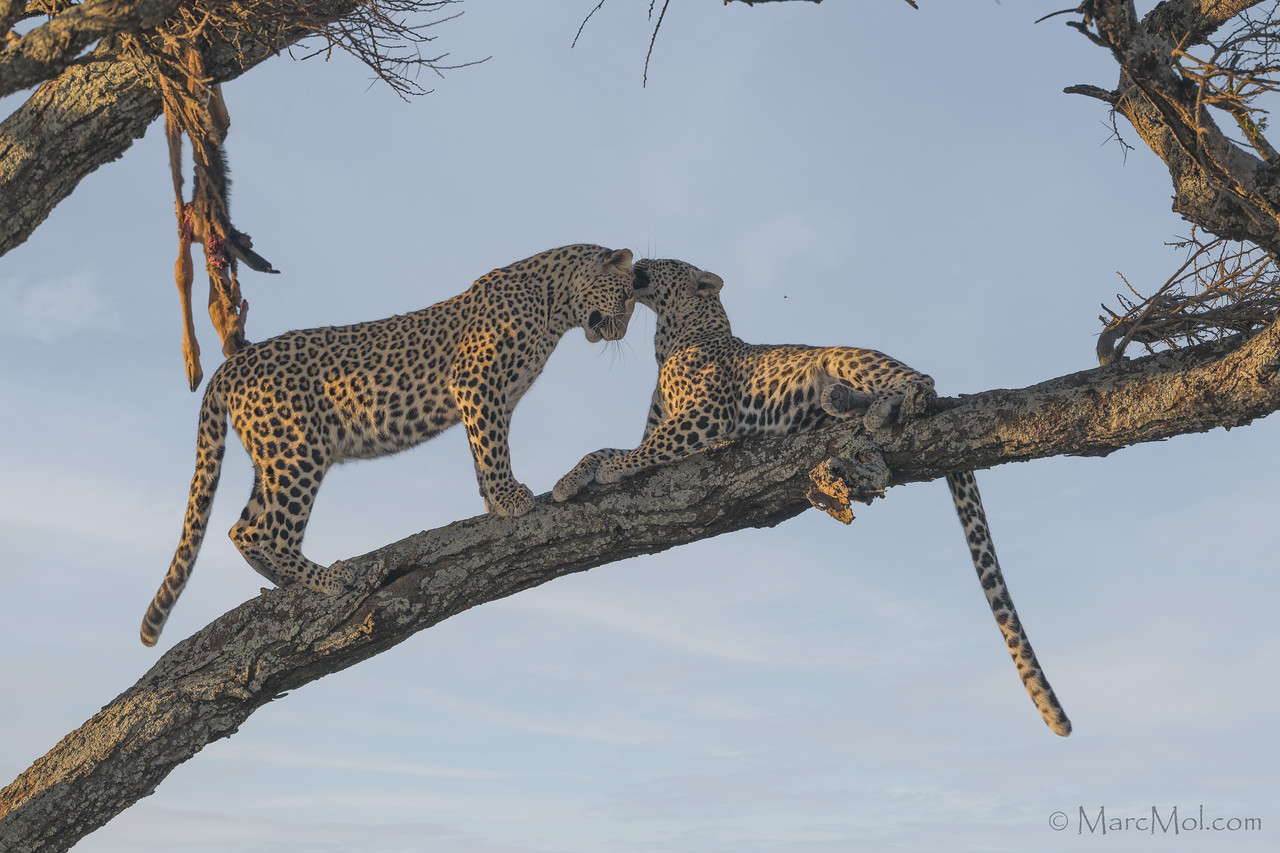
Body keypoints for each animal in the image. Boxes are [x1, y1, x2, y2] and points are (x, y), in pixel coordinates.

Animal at [140, 244, 636, 648]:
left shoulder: (496, 399)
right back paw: (328, 578)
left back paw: (285, 584)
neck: (556, 303)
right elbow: (493, 448)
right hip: (298, 450)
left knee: (240, 528)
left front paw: (494, 502)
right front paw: (511, 499)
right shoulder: (477, 383)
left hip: (272, 456)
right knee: (269, 531)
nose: (621, 333)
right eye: (631, 297)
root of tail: (230, 367)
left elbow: (483, 451)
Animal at [553, 257, 1072, 736]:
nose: (636, 262)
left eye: (667, 263)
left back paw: (876, 408)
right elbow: (611, 447)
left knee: (922, 381)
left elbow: (634, 450)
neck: (671, 337)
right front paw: (568, 482)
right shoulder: (664, 427)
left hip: (847, 355)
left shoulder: (707, 418)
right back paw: (840, 403)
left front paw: (605, 471)